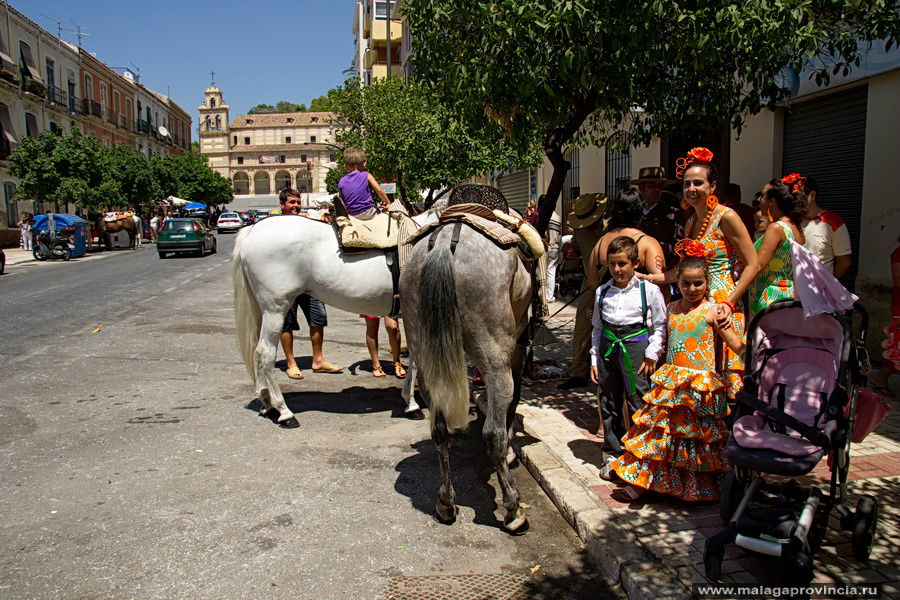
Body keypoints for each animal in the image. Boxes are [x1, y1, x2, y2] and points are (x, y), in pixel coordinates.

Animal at [400, 185, 536, 532]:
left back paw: (446, 503)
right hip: (496, 358)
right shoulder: (517, 349)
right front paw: (512, 449)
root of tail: (443, 246)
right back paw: (513, 509)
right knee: (492, 433)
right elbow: (512, 402)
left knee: (439, 430)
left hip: (425, 352)